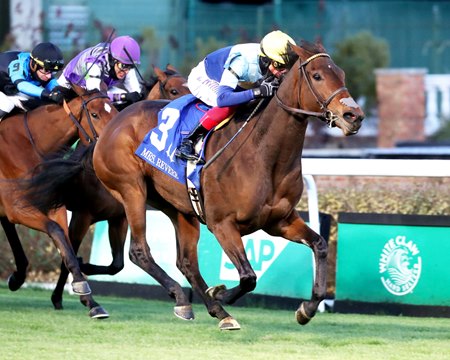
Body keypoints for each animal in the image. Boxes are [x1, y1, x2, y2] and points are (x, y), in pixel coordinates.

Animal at [1, 84, 118, 318]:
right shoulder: (18, 208)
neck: (28, 145)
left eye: (116, 110)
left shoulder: (55, 206)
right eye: (94, 114)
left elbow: (67, 248)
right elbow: (55, 231)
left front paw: (90, 300)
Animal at [21, 66, 192, 320]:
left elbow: (116, 265)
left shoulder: (119, 217)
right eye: (173, 90)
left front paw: (83, 270)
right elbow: (68, 253)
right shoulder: (82, 216)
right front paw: (68, 294)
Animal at [91, 41, 366, 330]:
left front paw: (307, 309)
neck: (263, 154)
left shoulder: (279, 221)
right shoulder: (222, 224)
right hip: (132, 189)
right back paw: (187, 298)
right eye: (317, 75)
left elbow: (320, 245)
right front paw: (219, 292)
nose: (354, 116)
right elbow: (248, 276)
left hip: (179, 208)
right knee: (139, 251)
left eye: (342, 74)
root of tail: (115, 121)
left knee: (187, 262)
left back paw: (215, 311)